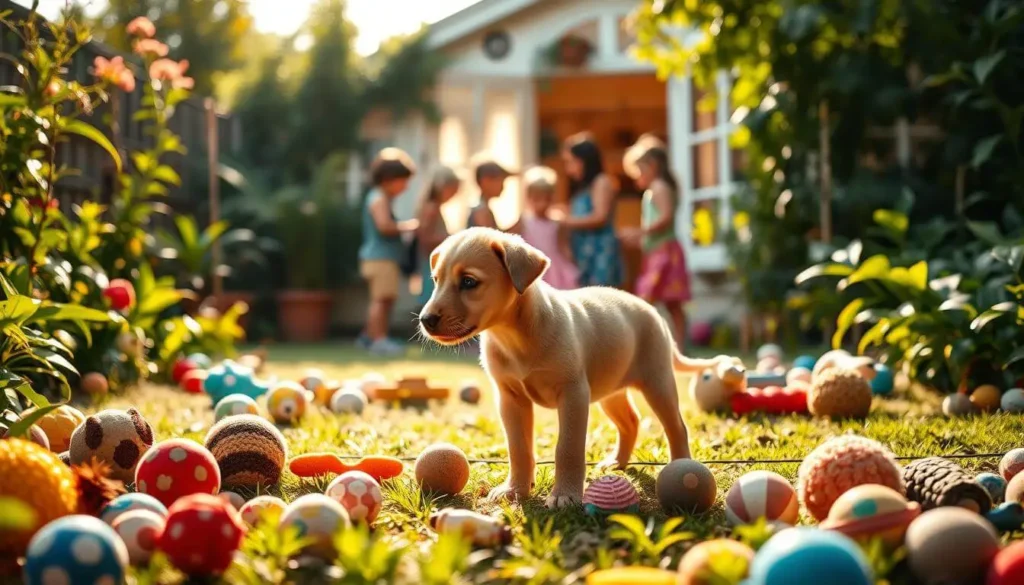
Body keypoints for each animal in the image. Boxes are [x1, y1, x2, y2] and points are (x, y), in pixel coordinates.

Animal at [417, 228, 729, 508]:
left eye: (469, 282)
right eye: (436, 280)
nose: (425, 320)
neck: (515, 335)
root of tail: (654, 313)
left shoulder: (573, 394)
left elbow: (567, 447)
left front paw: (565, 495)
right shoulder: (510, 399)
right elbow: (518, 448)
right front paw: (515, 490)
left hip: (657, 383)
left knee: (676, 426)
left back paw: (681, 465)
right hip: (611, 391)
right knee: (631, 421)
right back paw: (617, 462)